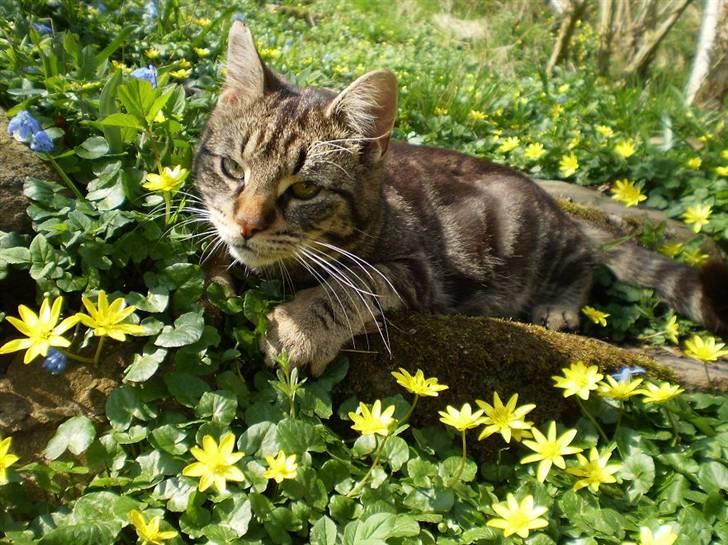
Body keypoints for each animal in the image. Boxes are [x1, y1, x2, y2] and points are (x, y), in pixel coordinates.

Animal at [195, 21, 728, 374]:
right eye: (232, 169)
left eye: (305, 188)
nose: (247, 225)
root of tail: (552, 200)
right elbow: (214, 255)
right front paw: (214, 278)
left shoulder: (418, 271)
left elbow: (353, 285)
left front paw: (300, 328)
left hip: (537, 240)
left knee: (585, 260)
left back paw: (560, 305)